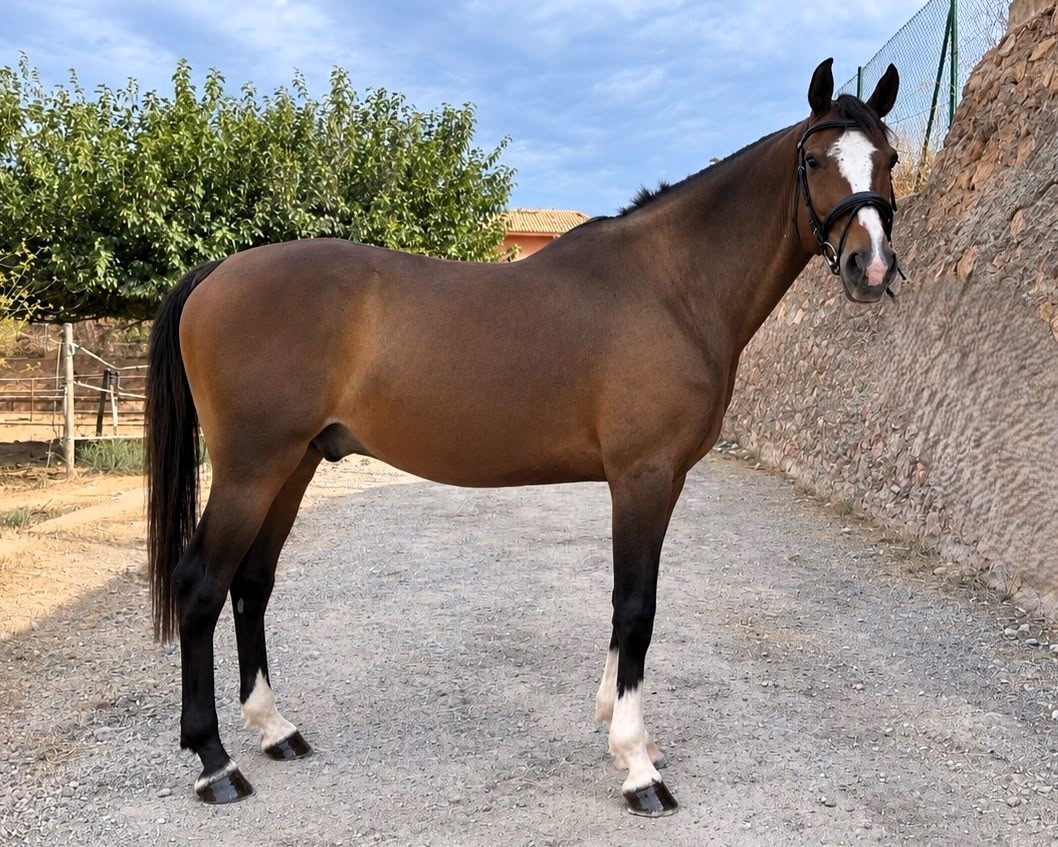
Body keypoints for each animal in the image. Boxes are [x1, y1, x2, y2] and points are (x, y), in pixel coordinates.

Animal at [145, 57, 901, 815]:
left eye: (889, 159)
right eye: (814, 159)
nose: (870, 267)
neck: (670, 288)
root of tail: (218, 271)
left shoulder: (657, 481)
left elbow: (626, 606)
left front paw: (617, 726)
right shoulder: (644, 475)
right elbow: (636, 607)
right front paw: (637, 766)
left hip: (294, 465)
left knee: (252, 583)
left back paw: (276, 730)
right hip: (250, 470)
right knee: (202, 585)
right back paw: (215, 763)